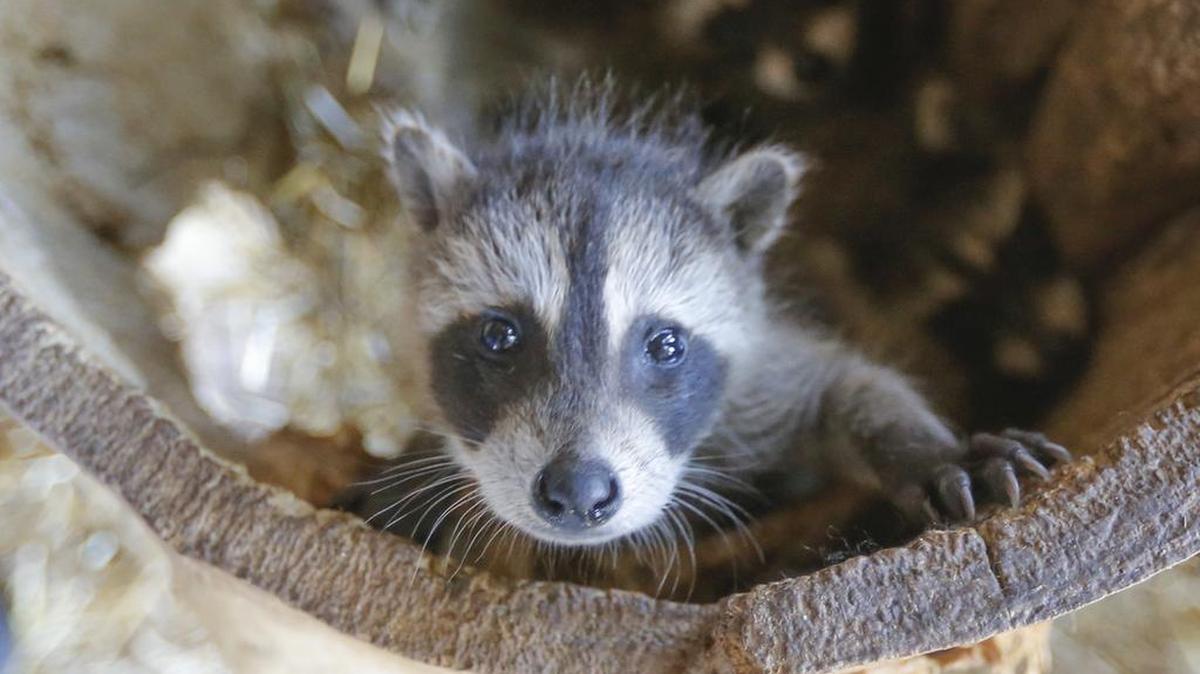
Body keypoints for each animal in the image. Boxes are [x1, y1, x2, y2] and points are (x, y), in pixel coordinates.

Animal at [360, 83, 1069, 552]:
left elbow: (849, 386)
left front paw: (928, 449)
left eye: (665, 344)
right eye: (500, 334)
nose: (579, 491)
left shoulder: (758, 379)